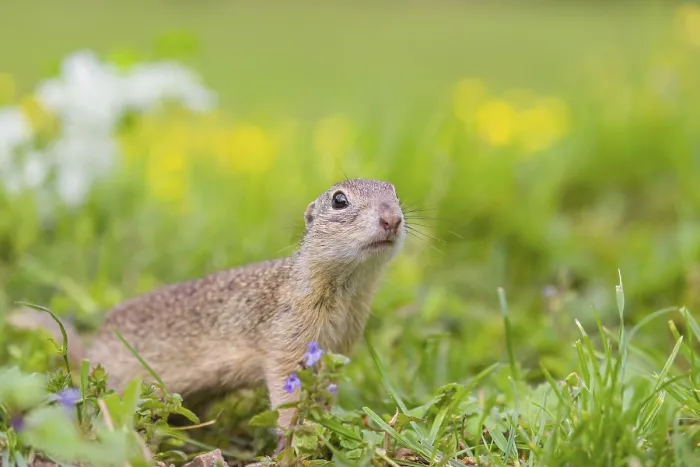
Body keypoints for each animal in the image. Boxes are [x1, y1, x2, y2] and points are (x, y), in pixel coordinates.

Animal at [7, 177, 406, 450]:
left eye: (395, 193)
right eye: (339, 200)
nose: (392, 218)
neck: (346, 294)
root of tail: (88, 355)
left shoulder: (338, 347)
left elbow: (323, 394)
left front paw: (328, 429)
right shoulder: (287, 340)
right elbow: (286, 394)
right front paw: (292, 441)